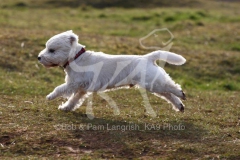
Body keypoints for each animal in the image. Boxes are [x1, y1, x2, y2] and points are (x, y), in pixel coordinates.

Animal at [38, 31, 187, 112]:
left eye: (52, 50)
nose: (39, 57)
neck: (76, 57)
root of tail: (148, 57)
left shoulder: (73, 83)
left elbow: (59, 89)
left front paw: (50, 96)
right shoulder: (82, 88)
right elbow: (74, 100)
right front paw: (66, 108)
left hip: (152, 83)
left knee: (171, 87)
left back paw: (181, 94)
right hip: (153, 84)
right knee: (168, 94)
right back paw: (179, 105)